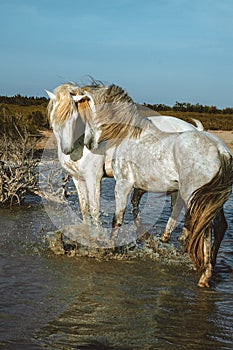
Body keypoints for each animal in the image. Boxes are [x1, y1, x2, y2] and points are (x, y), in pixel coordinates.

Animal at [46, 83, 202, 232]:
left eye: (73, 116)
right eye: (54, 115)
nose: (67, 149)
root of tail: (195, 129)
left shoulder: (93, 177)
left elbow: (94, 210)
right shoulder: (77, 178)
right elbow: (84, 209)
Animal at [75, 84, 232, 288]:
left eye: (88, 111)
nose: (88, 143)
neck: (130, 135)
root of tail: (220, 150)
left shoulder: (123, 183)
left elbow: (118, 219)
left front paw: (109, 248)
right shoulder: (138, 187)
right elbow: (134, 209)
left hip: (196, 198)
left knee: (204, 229)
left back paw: (204, 275)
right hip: (213, 199)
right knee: (219, 226)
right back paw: (209, 266)